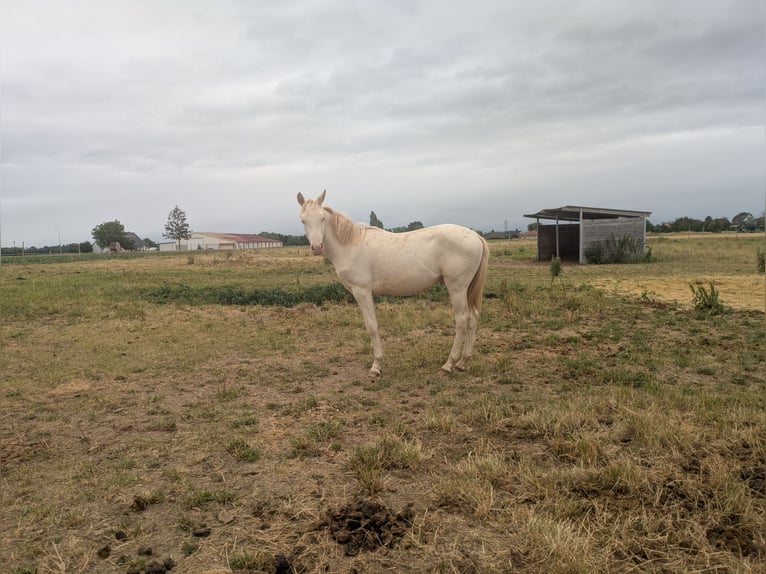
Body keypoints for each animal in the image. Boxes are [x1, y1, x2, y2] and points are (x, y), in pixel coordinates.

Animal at [297, 190, 489, 377]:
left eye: (322, 218)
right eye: (303, 220)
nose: (316, 247)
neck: (350, 245)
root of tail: (475, 236)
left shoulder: (362, 291)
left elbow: (372, 326)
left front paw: (376, 366)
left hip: (457, 288)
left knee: (462, 321)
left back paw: (449, 364)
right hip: (467, 289)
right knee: (473, 318)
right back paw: (463, 362)